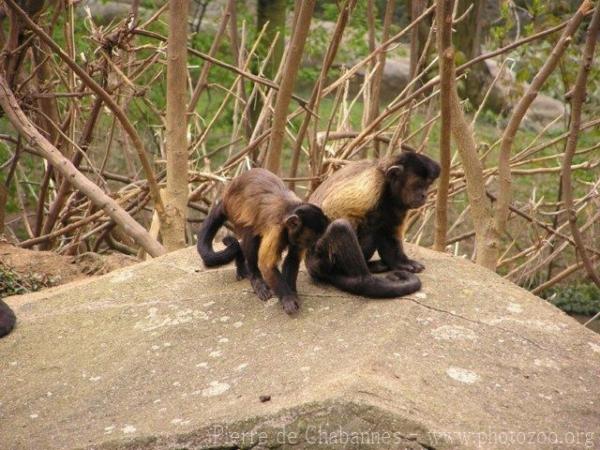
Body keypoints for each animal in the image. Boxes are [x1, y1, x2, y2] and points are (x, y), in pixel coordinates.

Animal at [197, 168, 328, 312]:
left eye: (316, 238)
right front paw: (287, 298)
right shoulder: (276, 229)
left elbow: (292, 259)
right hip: (234, 210)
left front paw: (292, 293)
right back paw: (256, 279)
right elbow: (267, 265)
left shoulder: (296, 238)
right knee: (251, 234)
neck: (288, 212)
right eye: (312, 238)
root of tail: (226, 195)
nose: (314, 246)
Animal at [304, 149, 440, 294]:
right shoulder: (373, 184)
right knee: (342, 226)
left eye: (428, 185)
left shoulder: (397, 203)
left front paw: (401, 262)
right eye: (418, 185)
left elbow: (390, 229)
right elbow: (332, 208)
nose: (424, 195)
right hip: (320, 258)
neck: (387, 186)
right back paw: (363, 281)